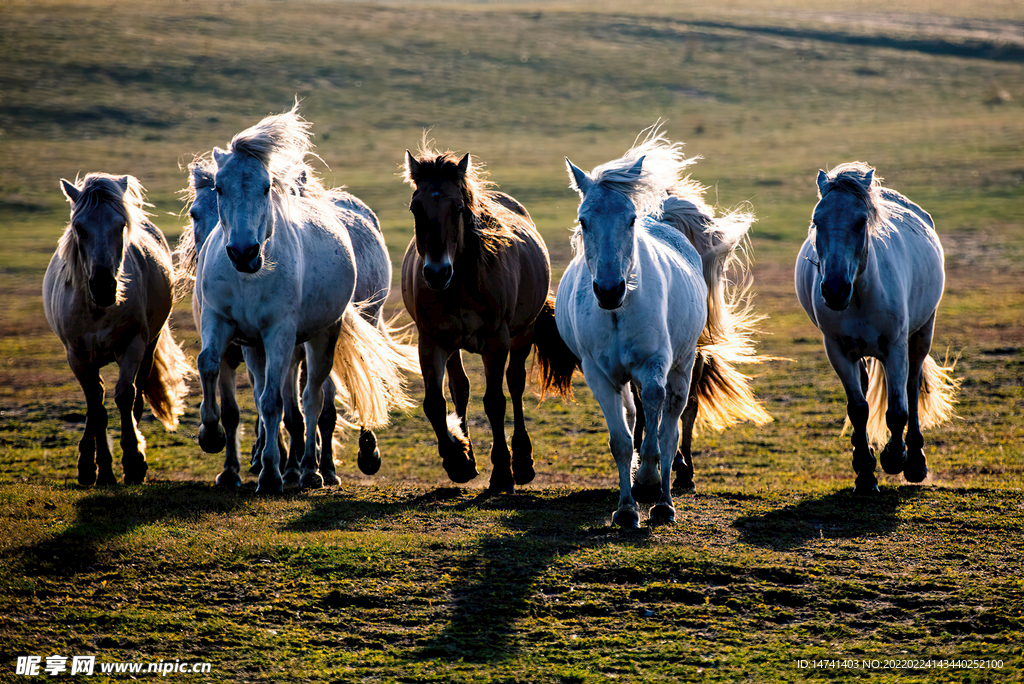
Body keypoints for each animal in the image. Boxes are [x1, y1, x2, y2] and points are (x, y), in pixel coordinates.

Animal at [43, 176, 193, 485]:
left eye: (121, 225)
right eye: (79, 227)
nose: (103, 286)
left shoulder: (133, 345)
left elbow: (125, 395)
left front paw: (133, 462)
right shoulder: (76, 355)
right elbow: (96, 408)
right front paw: (102, 470)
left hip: (148, 348)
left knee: (135, 397)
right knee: (95, 400)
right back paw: (88, 464)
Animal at [192, 105, 415, 491]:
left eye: (267, 187)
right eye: (220, 188)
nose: (243, 252)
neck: (248, 278)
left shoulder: (279, 333)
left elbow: (273, 403)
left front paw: (271, 474)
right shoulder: (222, 323)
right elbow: (209, 365)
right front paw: (211, 435)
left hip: (323, 336)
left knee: (314, 401)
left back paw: (312, 468)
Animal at [399, 144, 577, 491]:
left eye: (457, 208)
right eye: (415, 208)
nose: (437, 273)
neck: (459, 286)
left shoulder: (496, 342)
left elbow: (495, 401)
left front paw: (502, 473)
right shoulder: (431, 341)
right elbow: (435, 403)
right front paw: (458, 459)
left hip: (522, 334)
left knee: (515, 384)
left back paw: (522, 461)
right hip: (453, 345)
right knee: (460, 387)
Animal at [557, 129, 770, 528]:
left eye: (629, 220)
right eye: (583, 221)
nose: (609, 290)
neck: (618, 312)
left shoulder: (655, 365)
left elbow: (658, 431)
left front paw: (649, 481)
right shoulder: (599, 376)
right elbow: (621, 441)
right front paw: (626, 508)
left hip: (683, 366)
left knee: (671, 427)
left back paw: (663, 501)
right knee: (639, 418)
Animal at [790, 161, 958, 491]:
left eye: (860, 222)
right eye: (817, 220)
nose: (834, 290)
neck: (860, 295)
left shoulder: (896, 347)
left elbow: (897, 410)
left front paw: (895, 458)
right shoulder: (837, 350)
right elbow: (858, 409)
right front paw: (866, 474)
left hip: (922, 334)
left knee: (911, 386)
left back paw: (915, 461)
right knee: (865, 391)